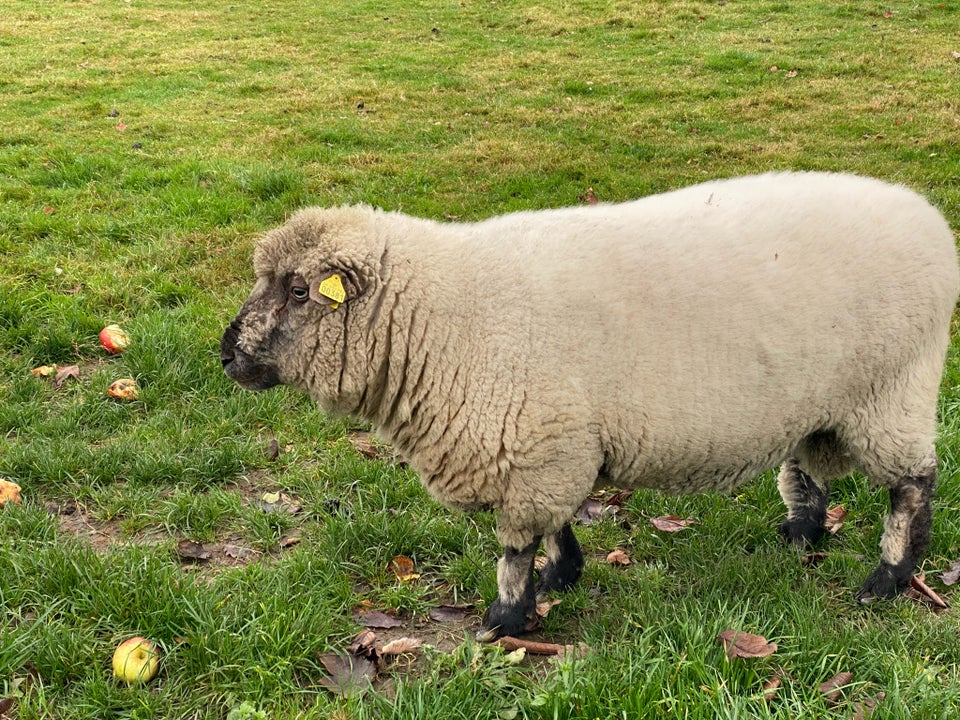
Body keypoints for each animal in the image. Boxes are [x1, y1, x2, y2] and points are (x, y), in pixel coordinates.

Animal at [219, 173, 960, 640]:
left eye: (297, 290)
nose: (225, 355)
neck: (442, 315)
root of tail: (926, 217)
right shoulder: (549, 445)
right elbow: (553, 527)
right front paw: (561, 575)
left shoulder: (534, 447)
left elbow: (514, 546)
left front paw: (506, 619)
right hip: (819, 399)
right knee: (806, 469)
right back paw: (802, 532)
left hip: (893, 390)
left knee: (913, 484)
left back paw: (889, 577)